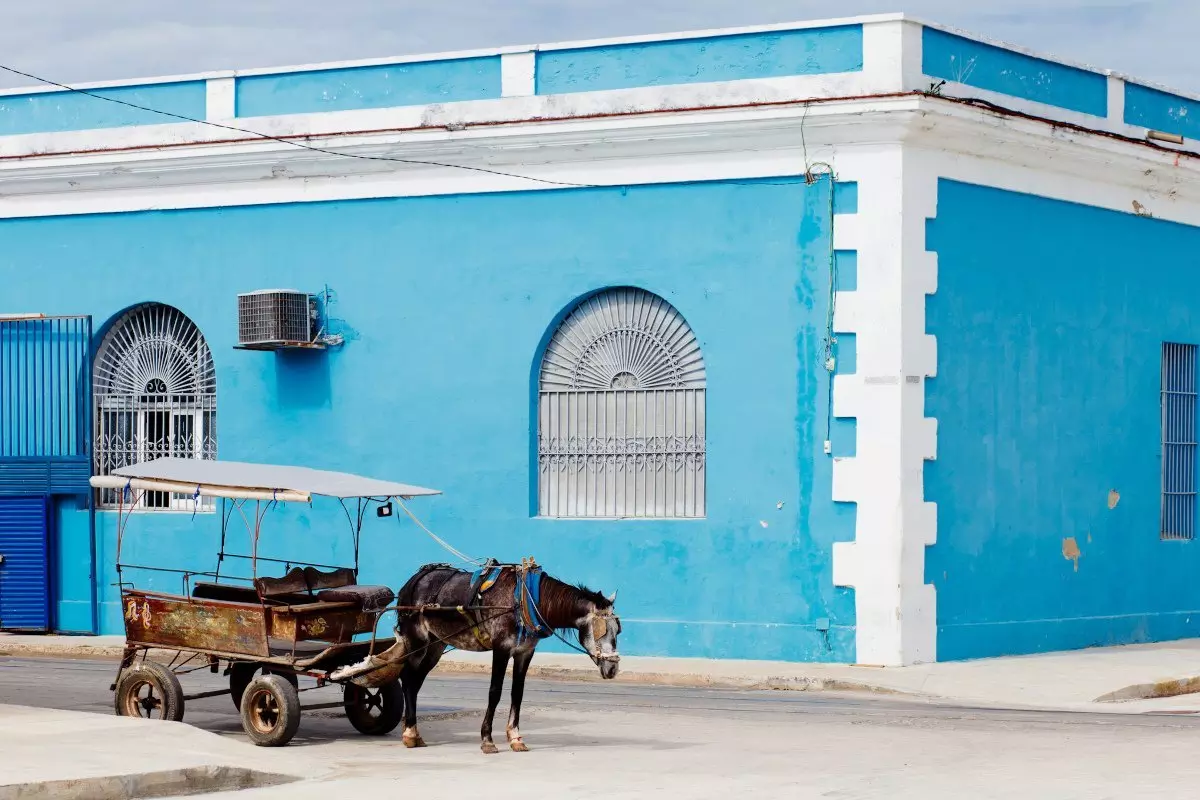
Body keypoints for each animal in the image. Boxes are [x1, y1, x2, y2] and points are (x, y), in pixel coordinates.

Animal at [332, 559, 620, 753]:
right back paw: (410, 732)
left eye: (619, 629)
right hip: (417, 640)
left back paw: (413, 733)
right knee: (407, 679)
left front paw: (515, 737)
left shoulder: (525, 652)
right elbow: (495, 692)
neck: (525, 600)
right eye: (602, 629)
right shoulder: (501, 648)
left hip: (436, 645)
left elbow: (517, 693)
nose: (613, 669)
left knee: (414, 682)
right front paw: (487, 740)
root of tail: (412, 582)